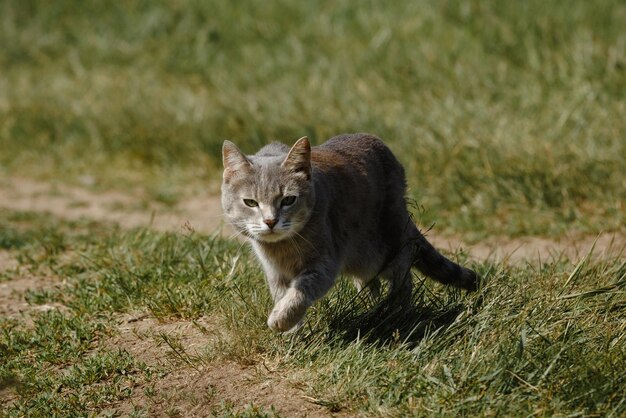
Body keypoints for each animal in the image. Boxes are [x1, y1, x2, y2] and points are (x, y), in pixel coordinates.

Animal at [221, 132, 478, 332]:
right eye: (250, 202)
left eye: (288, 200)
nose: (270, 221)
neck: (282, 249)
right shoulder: (275, 273)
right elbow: (282, 295)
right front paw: (291, 335)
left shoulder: (325, 263)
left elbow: (300, 291)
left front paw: (280, 321)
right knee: (370, 283)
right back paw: (369, 306)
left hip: (390, 244)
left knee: (403, 279)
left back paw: (397, 313)